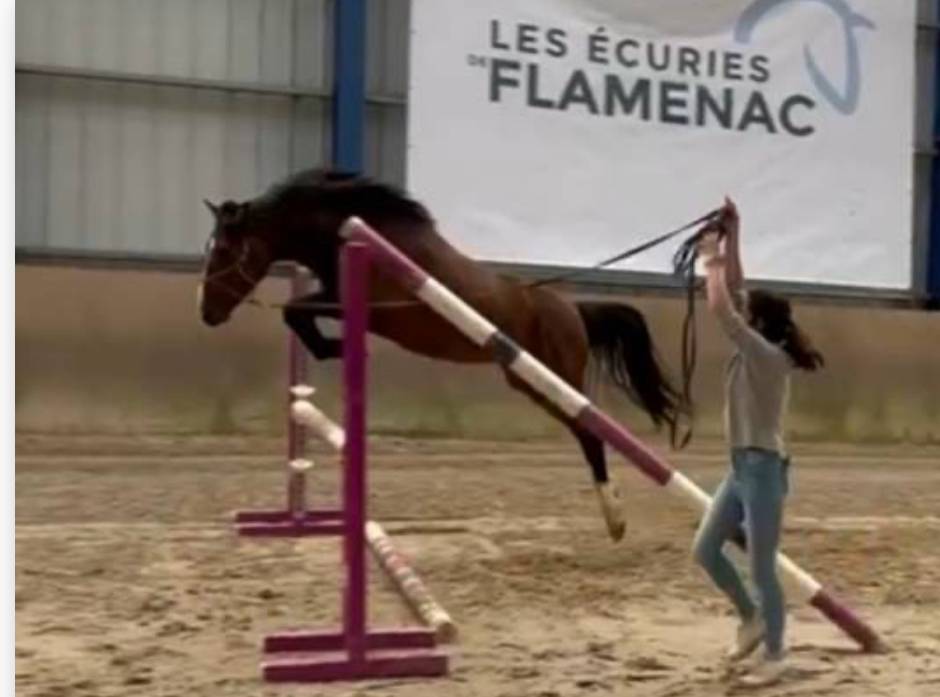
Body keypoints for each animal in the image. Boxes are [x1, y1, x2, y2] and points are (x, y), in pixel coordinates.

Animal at [198, 168, 686, 541]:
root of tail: (573, 311)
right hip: (526, 380)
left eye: (223, 249)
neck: (343, 231)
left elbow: (297, 310)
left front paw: (335, 347)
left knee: (590, 433)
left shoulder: (364, 306)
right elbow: (297, 312)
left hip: (552, 380)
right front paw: (335, 348)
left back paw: (615, 518)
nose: (206, 313)